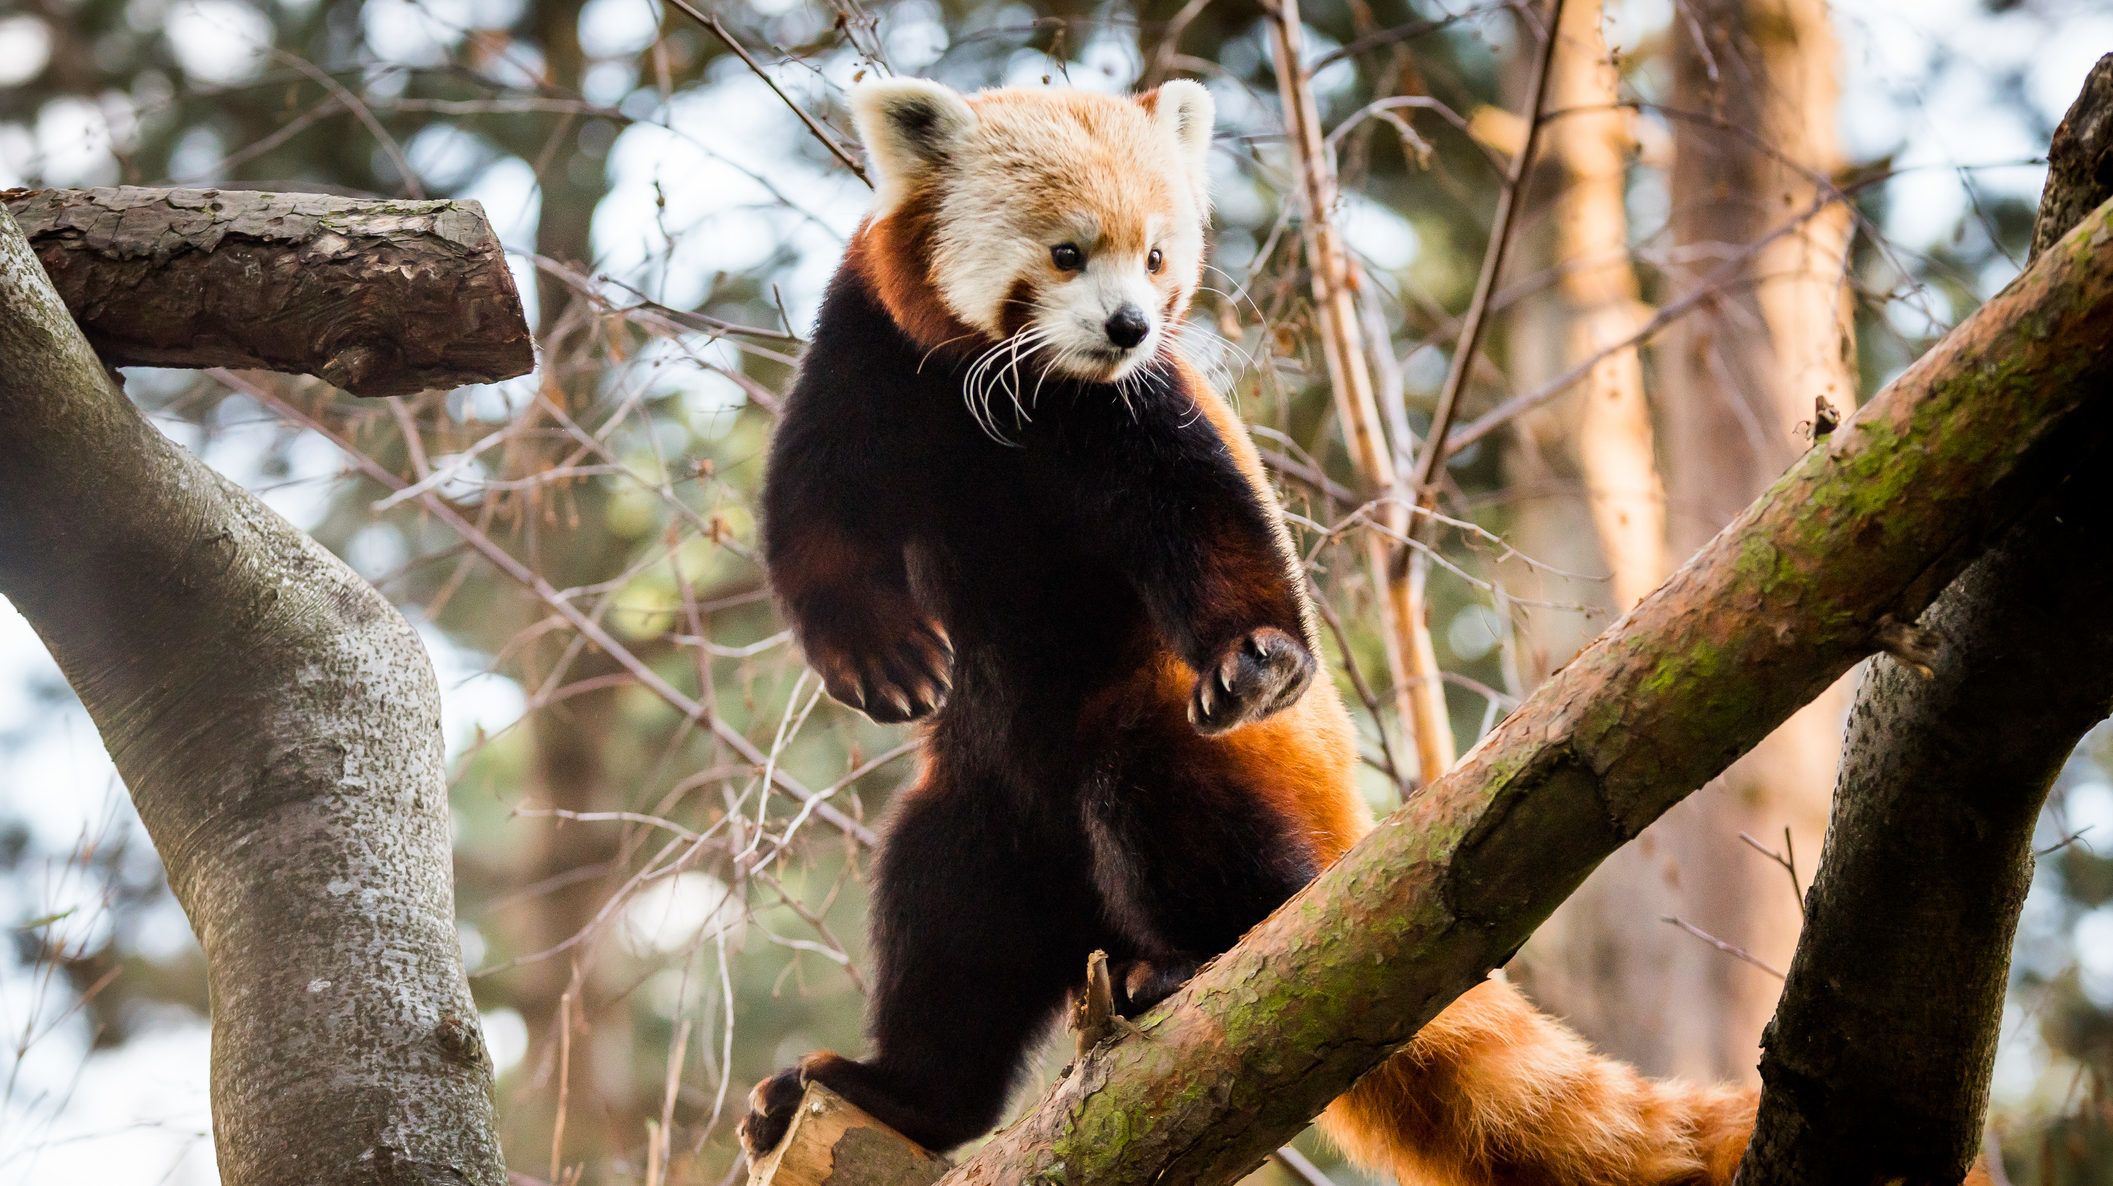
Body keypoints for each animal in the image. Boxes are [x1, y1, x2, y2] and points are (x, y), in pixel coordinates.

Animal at [739, 78, 1977, 1175]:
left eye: (1156, 255)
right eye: (1066, 254)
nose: (1128, 325)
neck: (1002, 392)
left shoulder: (1133, 409)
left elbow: (1205, 521)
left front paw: (1259, 656)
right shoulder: (867, 357)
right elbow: (814, 521)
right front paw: (885, 662)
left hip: (1184, 750)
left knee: (1170, 807)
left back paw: (1185, 965)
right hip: (979, 806)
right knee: (947, 924)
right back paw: (888, 1090)